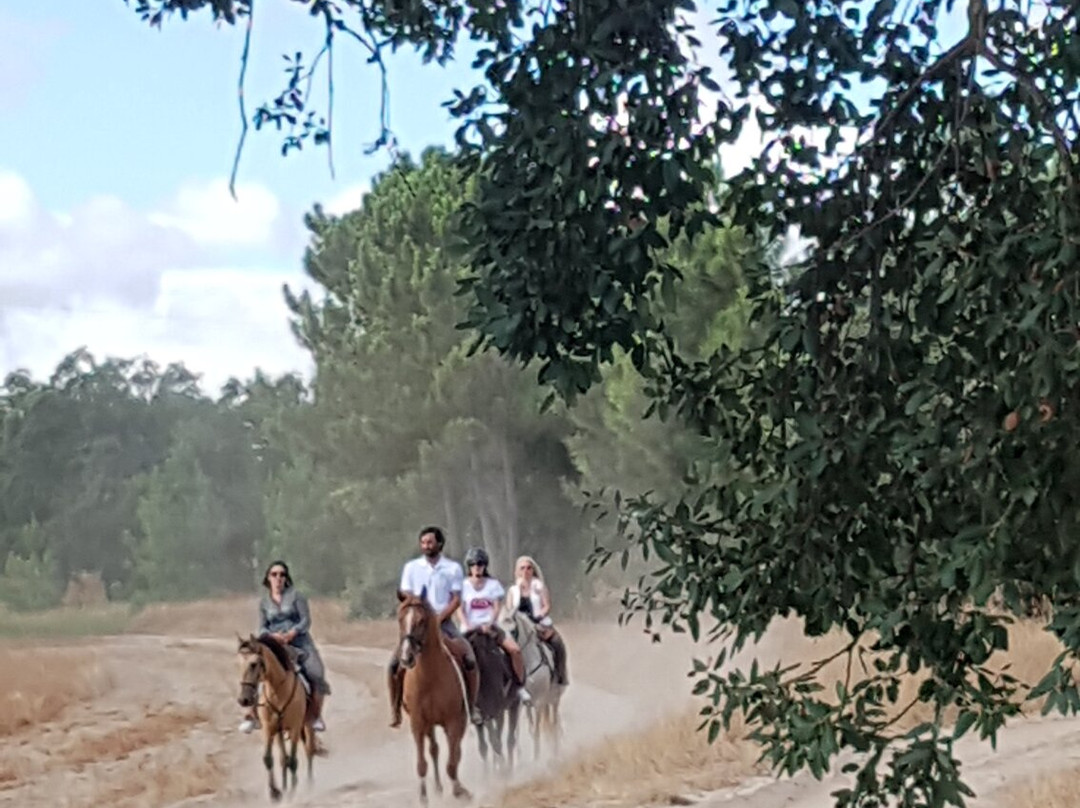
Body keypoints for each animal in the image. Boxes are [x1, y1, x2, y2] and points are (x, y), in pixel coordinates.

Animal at [237, 634, 317, 802]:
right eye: (238, 663)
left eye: (254, 664)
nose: (243, 700)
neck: (278, 691)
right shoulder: (269, 728)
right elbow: (269, 759)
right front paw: (275, 792)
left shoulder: (294, 728)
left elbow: (293, 761)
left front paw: (293, 791)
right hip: (280, 731)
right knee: (282, 758)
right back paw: (285, 786)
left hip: (307, 725)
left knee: (309, 751)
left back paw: (308, 784)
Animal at [396, 591, 472, 805]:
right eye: (400, 619)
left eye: (421, 621)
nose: (406, 658)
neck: (429, 677)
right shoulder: (418, 723)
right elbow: (422, 762)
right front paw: (423, 797)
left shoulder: (454, 721)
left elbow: (453, 761)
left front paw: (459, 791)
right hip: (429, 725)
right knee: (434, 750)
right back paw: (437, 788)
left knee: (454, 751)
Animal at [465, 627, 521, 773]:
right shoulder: (479, 718)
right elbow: (483, 747)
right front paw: (488, 775)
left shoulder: (496, 712)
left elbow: (496, 741)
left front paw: (503, 770)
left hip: (513, 705)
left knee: (509, 739)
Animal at [499, 610, 565, 760]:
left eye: (513, 630)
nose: (505, 652)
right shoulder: (520, 703)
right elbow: (520, 729)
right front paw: (519, 757)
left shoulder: (539, 701)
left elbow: (536, 730)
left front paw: (536, 756)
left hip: (554, 698)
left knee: (554, 721)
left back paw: (555, 749)